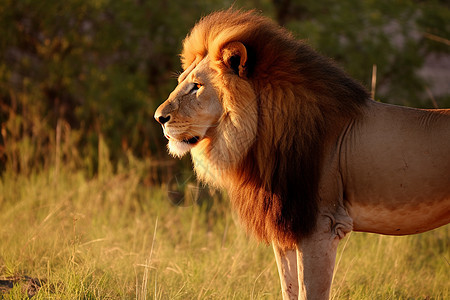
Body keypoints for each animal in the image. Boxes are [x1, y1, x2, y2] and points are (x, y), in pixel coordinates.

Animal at [155, 9, 450, 300]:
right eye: (181, 82)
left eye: (196, 86)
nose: (159, 118)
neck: (261, 136)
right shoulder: (286, 227)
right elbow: (290, 290)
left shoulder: (321, 225)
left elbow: (310, 291)